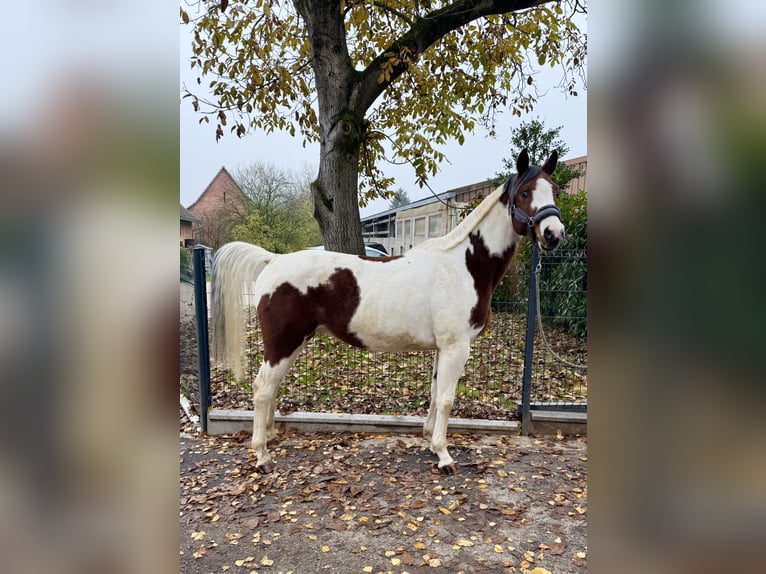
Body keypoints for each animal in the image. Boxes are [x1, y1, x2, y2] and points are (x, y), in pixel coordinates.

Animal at [211, 149, 565, 474]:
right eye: (524, 193)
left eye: (556, 190)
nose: (554, 234)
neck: (464, 265)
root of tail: (273, 260)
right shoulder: (456, 347)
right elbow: (447, 399)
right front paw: (445, 456)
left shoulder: (443, 348)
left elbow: (435, 393)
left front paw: (429, 440)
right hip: (283, 343)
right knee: (262, 389)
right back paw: (262, 455)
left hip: (294, 343)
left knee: (271, 388)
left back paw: (270, 437)